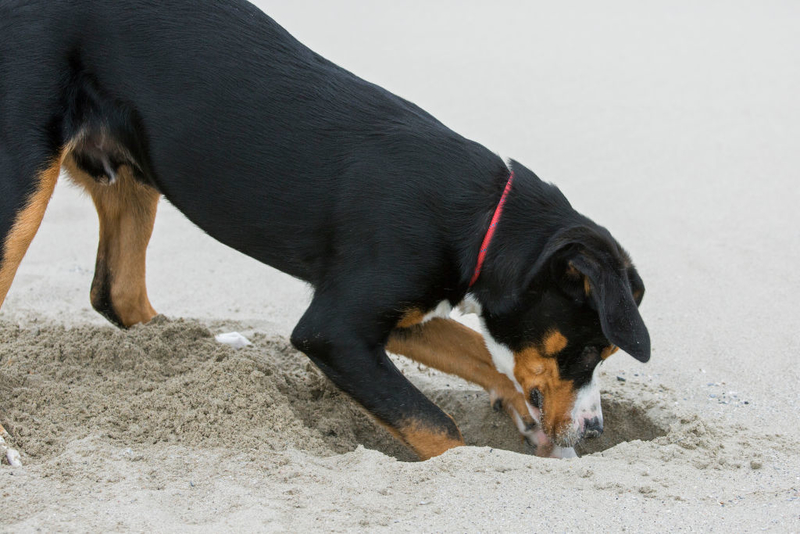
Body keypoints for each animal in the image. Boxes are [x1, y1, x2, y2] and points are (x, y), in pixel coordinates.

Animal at [1, 0, 648, 460]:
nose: (596, 431)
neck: (480, 216)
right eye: (591, 348)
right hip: (24, 180)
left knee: (118, 293)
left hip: (131, 172)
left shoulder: (398, 320)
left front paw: (524, 413)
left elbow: (479, 352)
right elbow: (441, 431)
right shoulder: (335, 331)